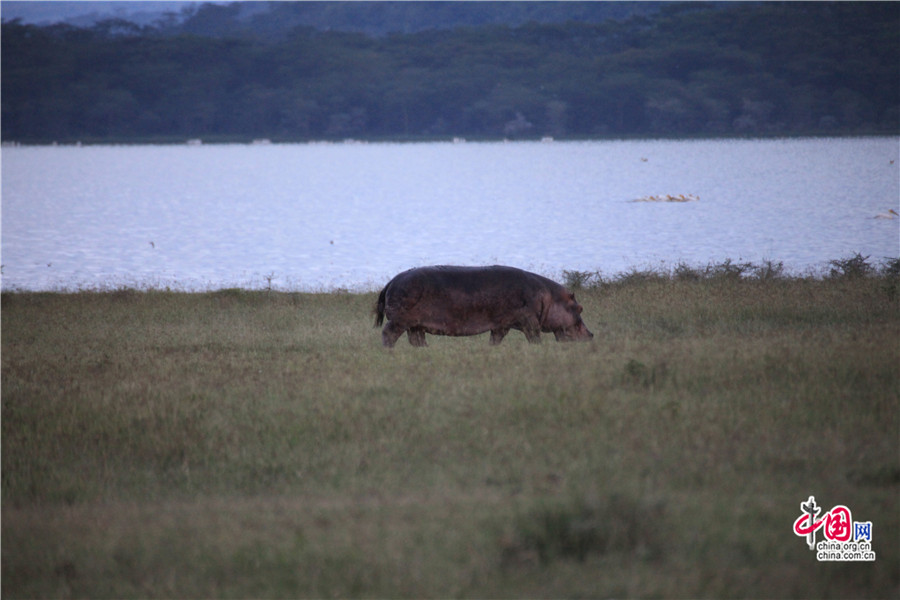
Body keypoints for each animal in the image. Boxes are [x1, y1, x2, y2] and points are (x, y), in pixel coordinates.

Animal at [370, 266, 592, 346]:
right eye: (579, 308)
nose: (591, 334)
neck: (549, 296)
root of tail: (390, 282)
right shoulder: (529, 321)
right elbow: (534, 337)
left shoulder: (502, 325)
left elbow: (496, 339)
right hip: (401, 320)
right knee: (388, 333)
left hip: (415, 324)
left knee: (416, 340)